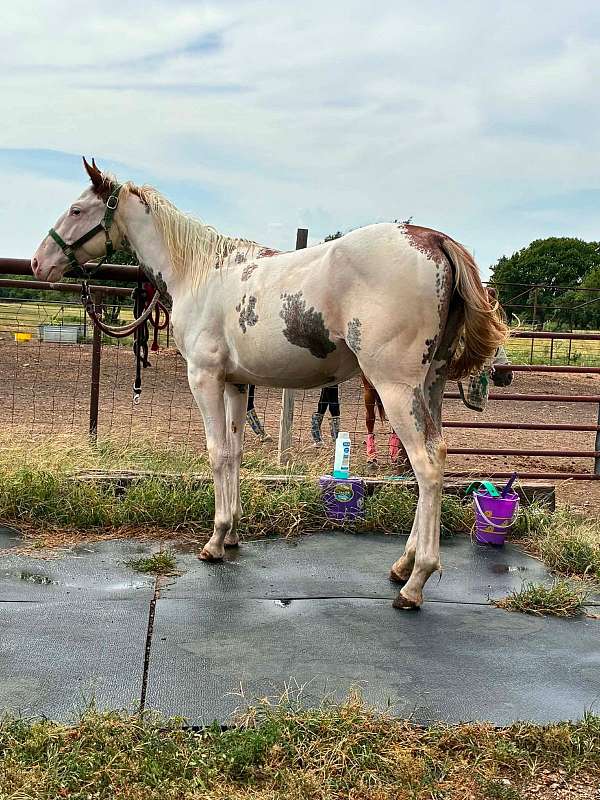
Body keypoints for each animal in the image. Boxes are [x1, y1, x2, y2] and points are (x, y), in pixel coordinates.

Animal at [31, 158, 508, 609]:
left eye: (77, 210)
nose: (38, 263)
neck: (200, 274)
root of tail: (433, 239)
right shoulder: (236, 385)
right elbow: (236, 453)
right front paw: (232, 534)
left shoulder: (204, 379)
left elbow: (217, 453)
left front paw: (214, 541)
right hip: (430, 385)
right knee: (436, 455)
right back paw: (403, 564)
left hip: (394, 388)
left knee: (426, 468)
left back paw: (415, 582)